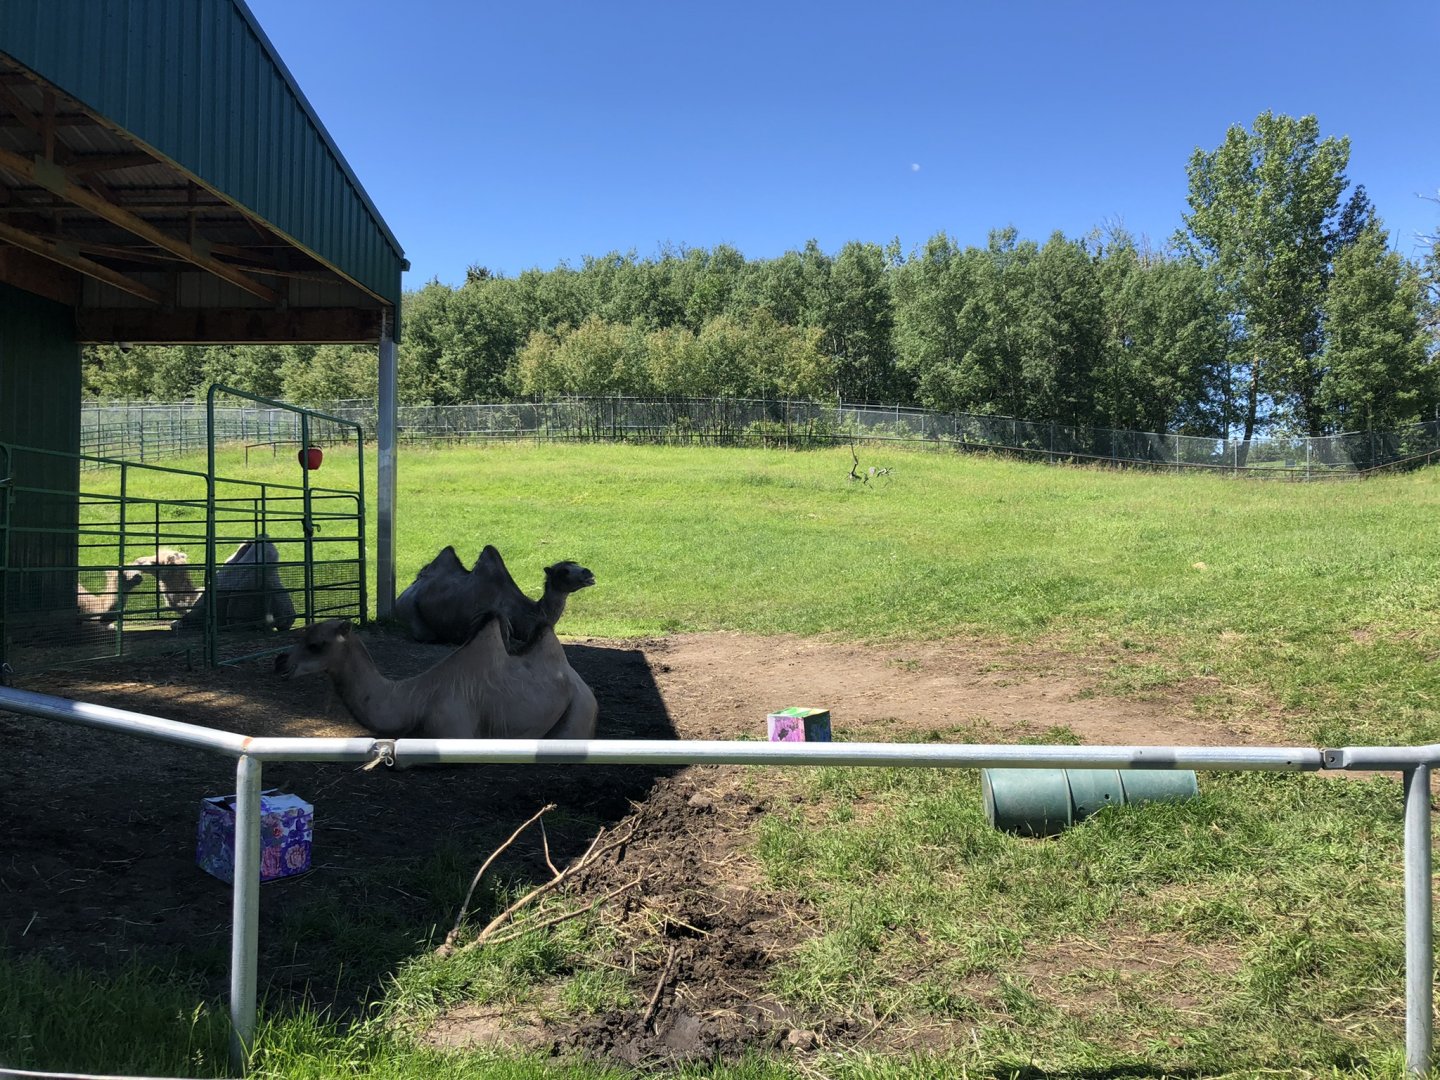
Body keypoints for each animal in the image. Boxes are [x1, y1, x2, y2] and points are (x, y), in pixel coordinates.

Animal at [274, 613, 598, 740]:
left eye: (316, 644)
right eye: (303, 634)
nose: (280, 663)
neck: (414, 700)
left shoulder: (455, 733)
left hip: (579, 710)